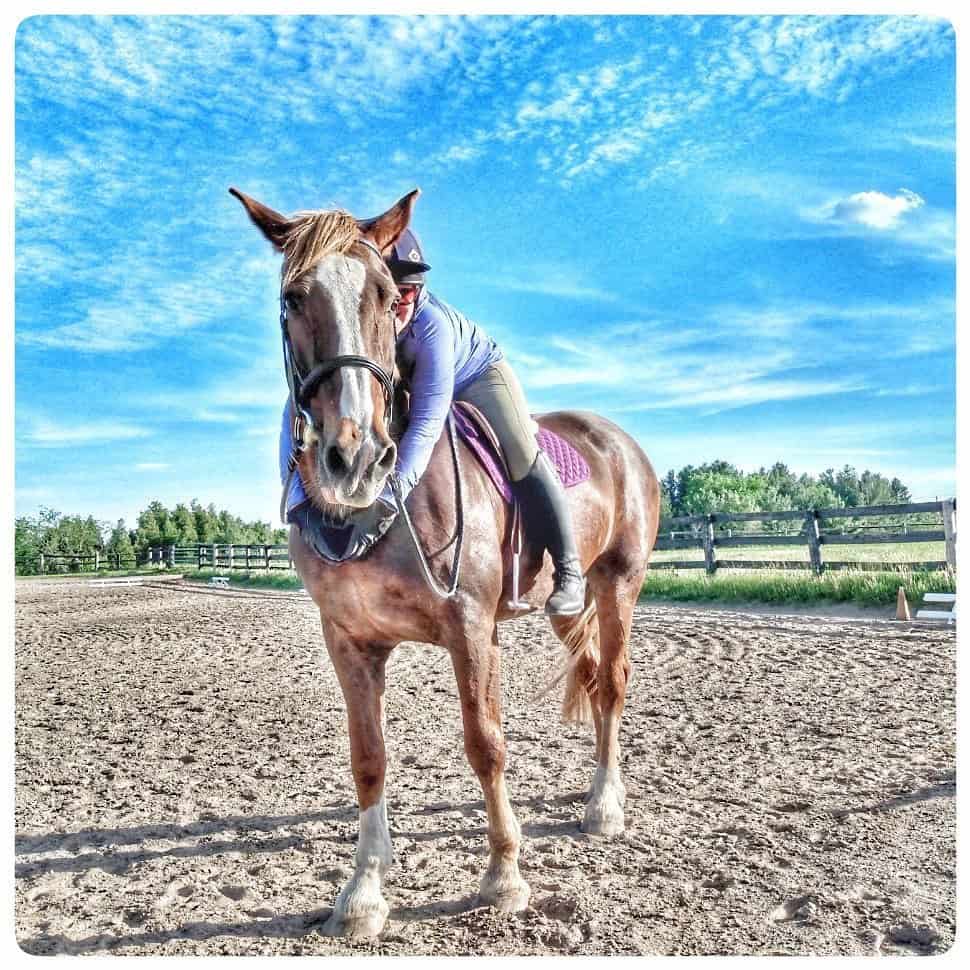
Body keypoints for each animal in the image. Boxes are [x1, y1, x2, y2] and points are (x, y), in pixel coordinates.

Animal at [230, 186, 661, 938]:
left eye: (384, 293)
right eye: (293, 297)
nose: (354, 459)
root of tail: (616, 437)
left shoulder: (470, 628)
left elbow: (485, 743)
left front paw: (504, 877)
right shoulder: (349, 640)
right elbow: (368, 757)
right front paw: (363, 893)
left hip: (620, 583)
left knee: (611, 682)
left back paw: (605, 805)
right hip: (566, 601)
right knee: (589, 670)